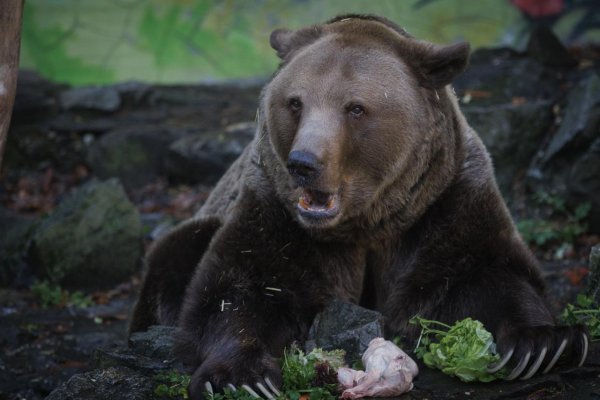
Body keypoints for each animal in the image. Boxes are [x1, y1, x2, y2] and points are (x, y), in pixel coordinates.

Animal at [130, 14, 584, 398]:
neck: (366, 222)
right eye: (295, 102)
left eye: (355, 108)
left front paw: (541, 344)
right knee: (181, 248)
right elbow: (240, 289)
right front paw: (242, 377)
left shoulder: (442, 199)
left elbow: (484, 271)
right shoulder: (275, 210)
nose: (303, 163)